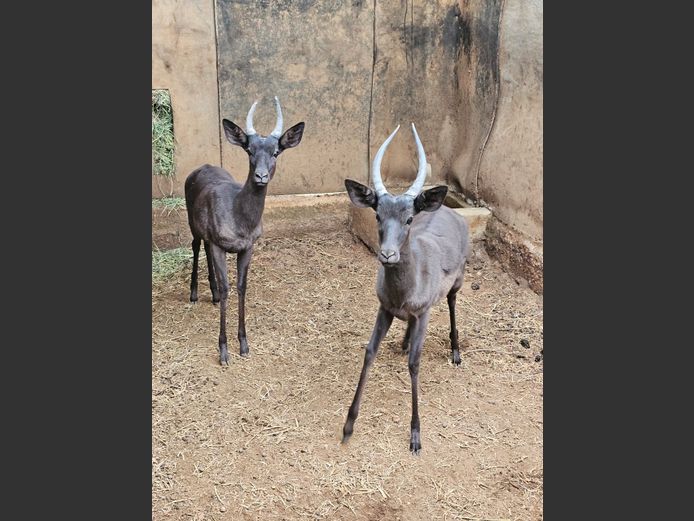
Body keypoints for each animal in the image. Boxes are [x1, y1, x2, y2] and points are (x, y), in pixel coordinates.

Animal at [184, 97, 304, 365]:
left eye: (276, 151)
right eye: (249, 150)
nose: (261, 176)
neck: (239, 219)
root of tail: (199, 168)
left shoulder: (248, 246)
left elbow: (241, 287)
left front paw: (244, 344)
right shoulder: (220, 244)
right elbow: (228, 288)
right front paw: (223, 351)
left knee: (205, 249)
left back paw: (213, 294)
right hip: (191, 222)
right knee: (196, 246)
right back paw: (194, 294)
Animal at [341, 124, 470, 454]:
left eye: (409, 217)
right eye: (377, 214)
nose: (387, 255)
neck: (405, 291)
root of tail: (451, 213)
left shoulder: (424, 312)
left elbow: (415, 363)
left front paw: (415, 436)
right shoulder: (384, 307)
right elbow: (369, 352)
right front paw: (348, 426)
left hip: (459, 281)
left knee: (452, 302)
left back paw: (455, 352)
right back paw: (403, 341)